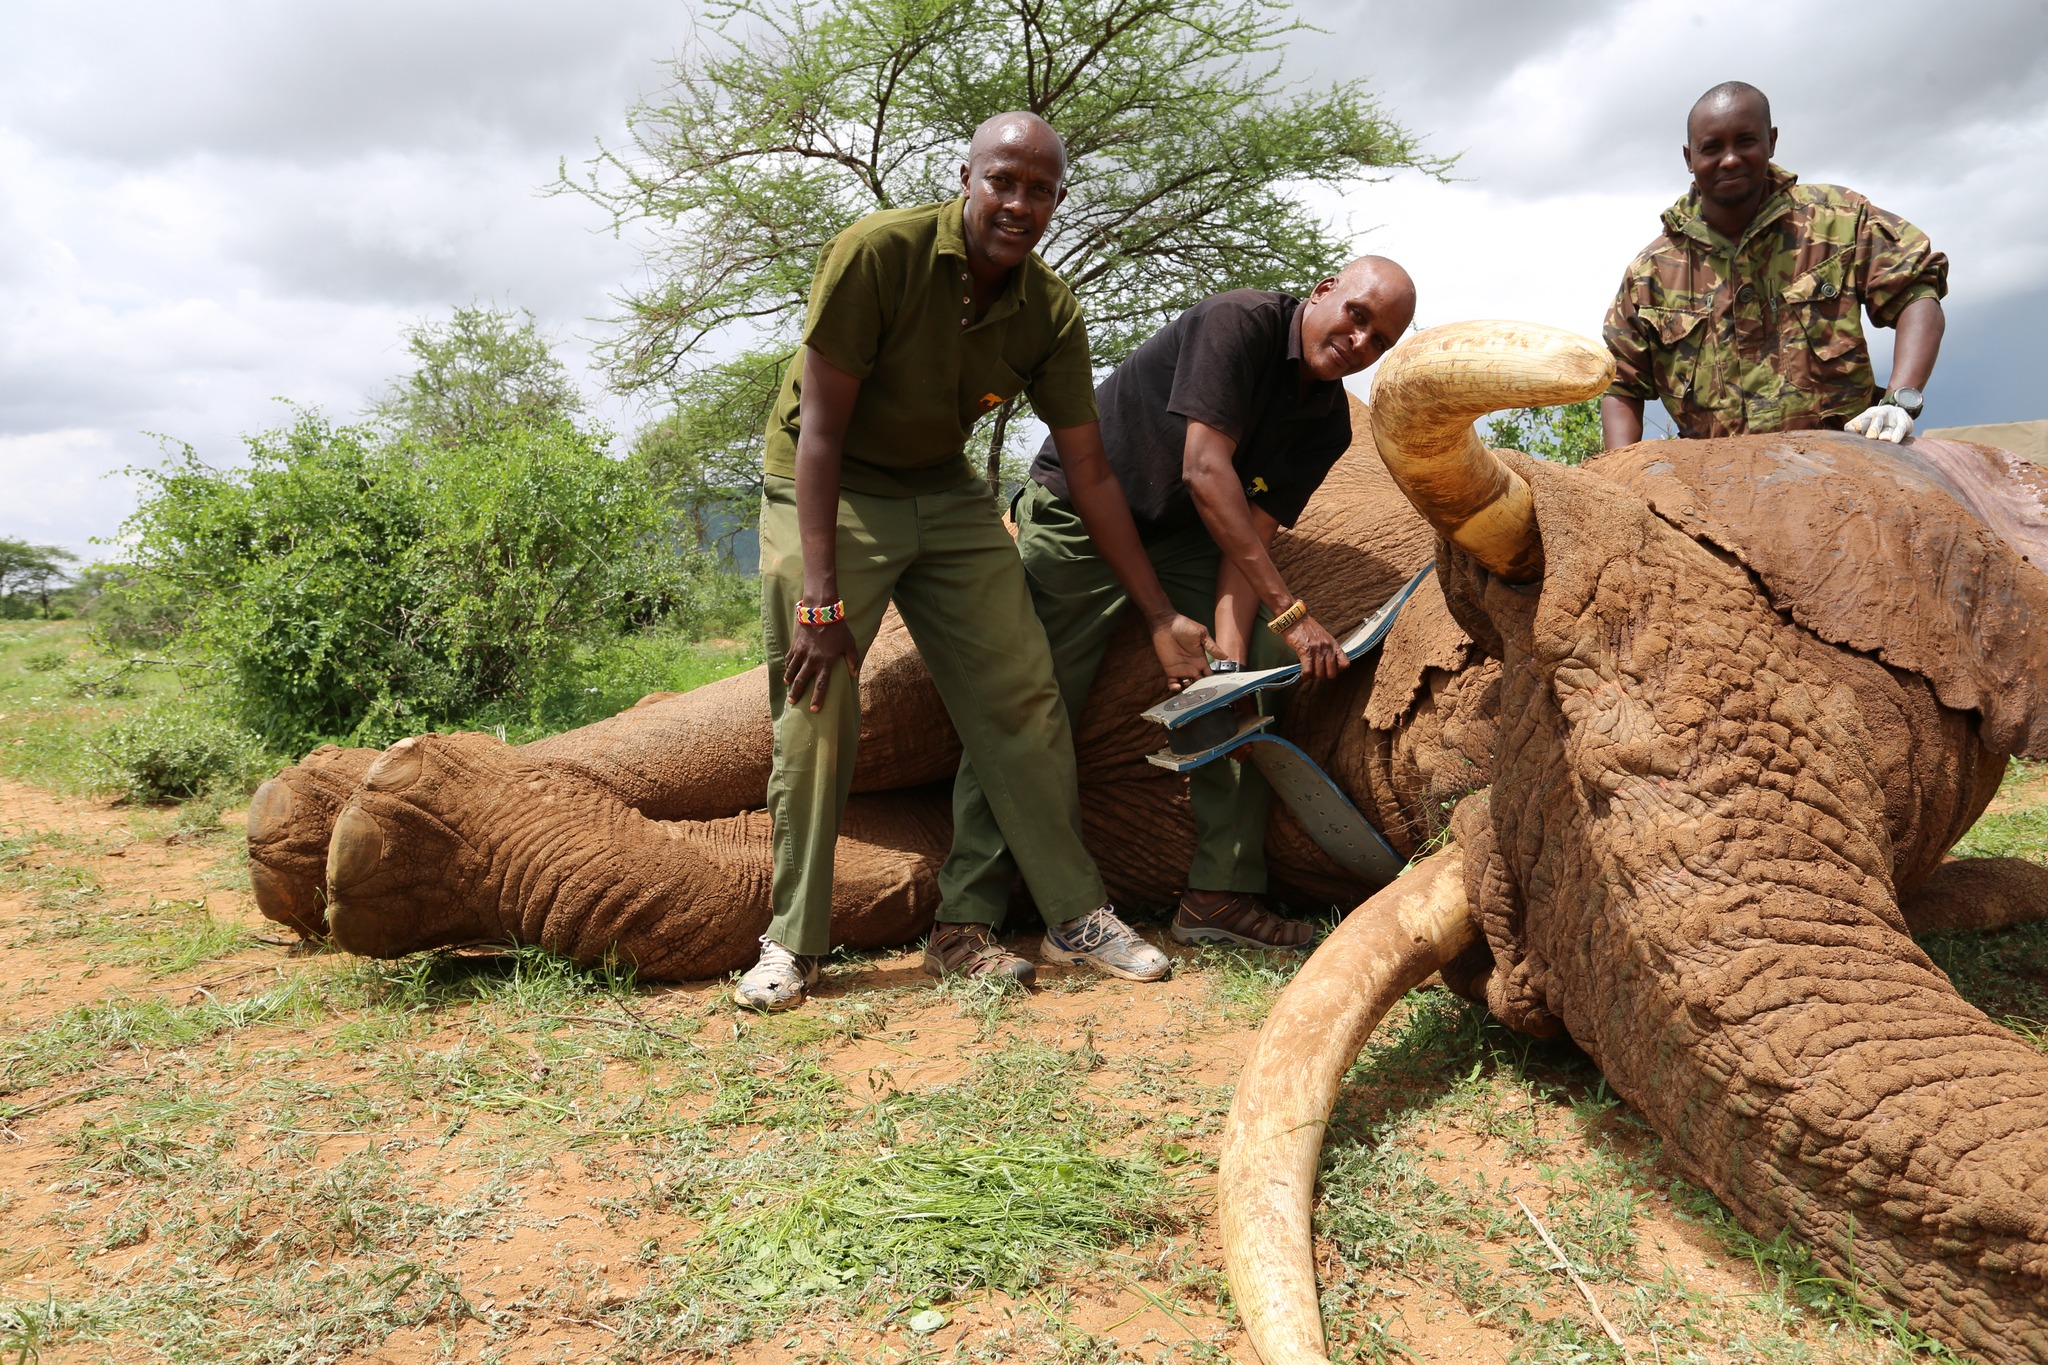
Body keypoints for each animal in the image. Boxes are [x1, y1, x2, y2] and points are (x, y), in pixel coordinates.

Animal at [247, 321, 2048, 1361]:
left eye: (1924, 764)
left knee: (885, 858)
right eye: (1483, 633)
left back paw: (380, 852)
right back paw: (320, 828)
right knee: (832, 703)